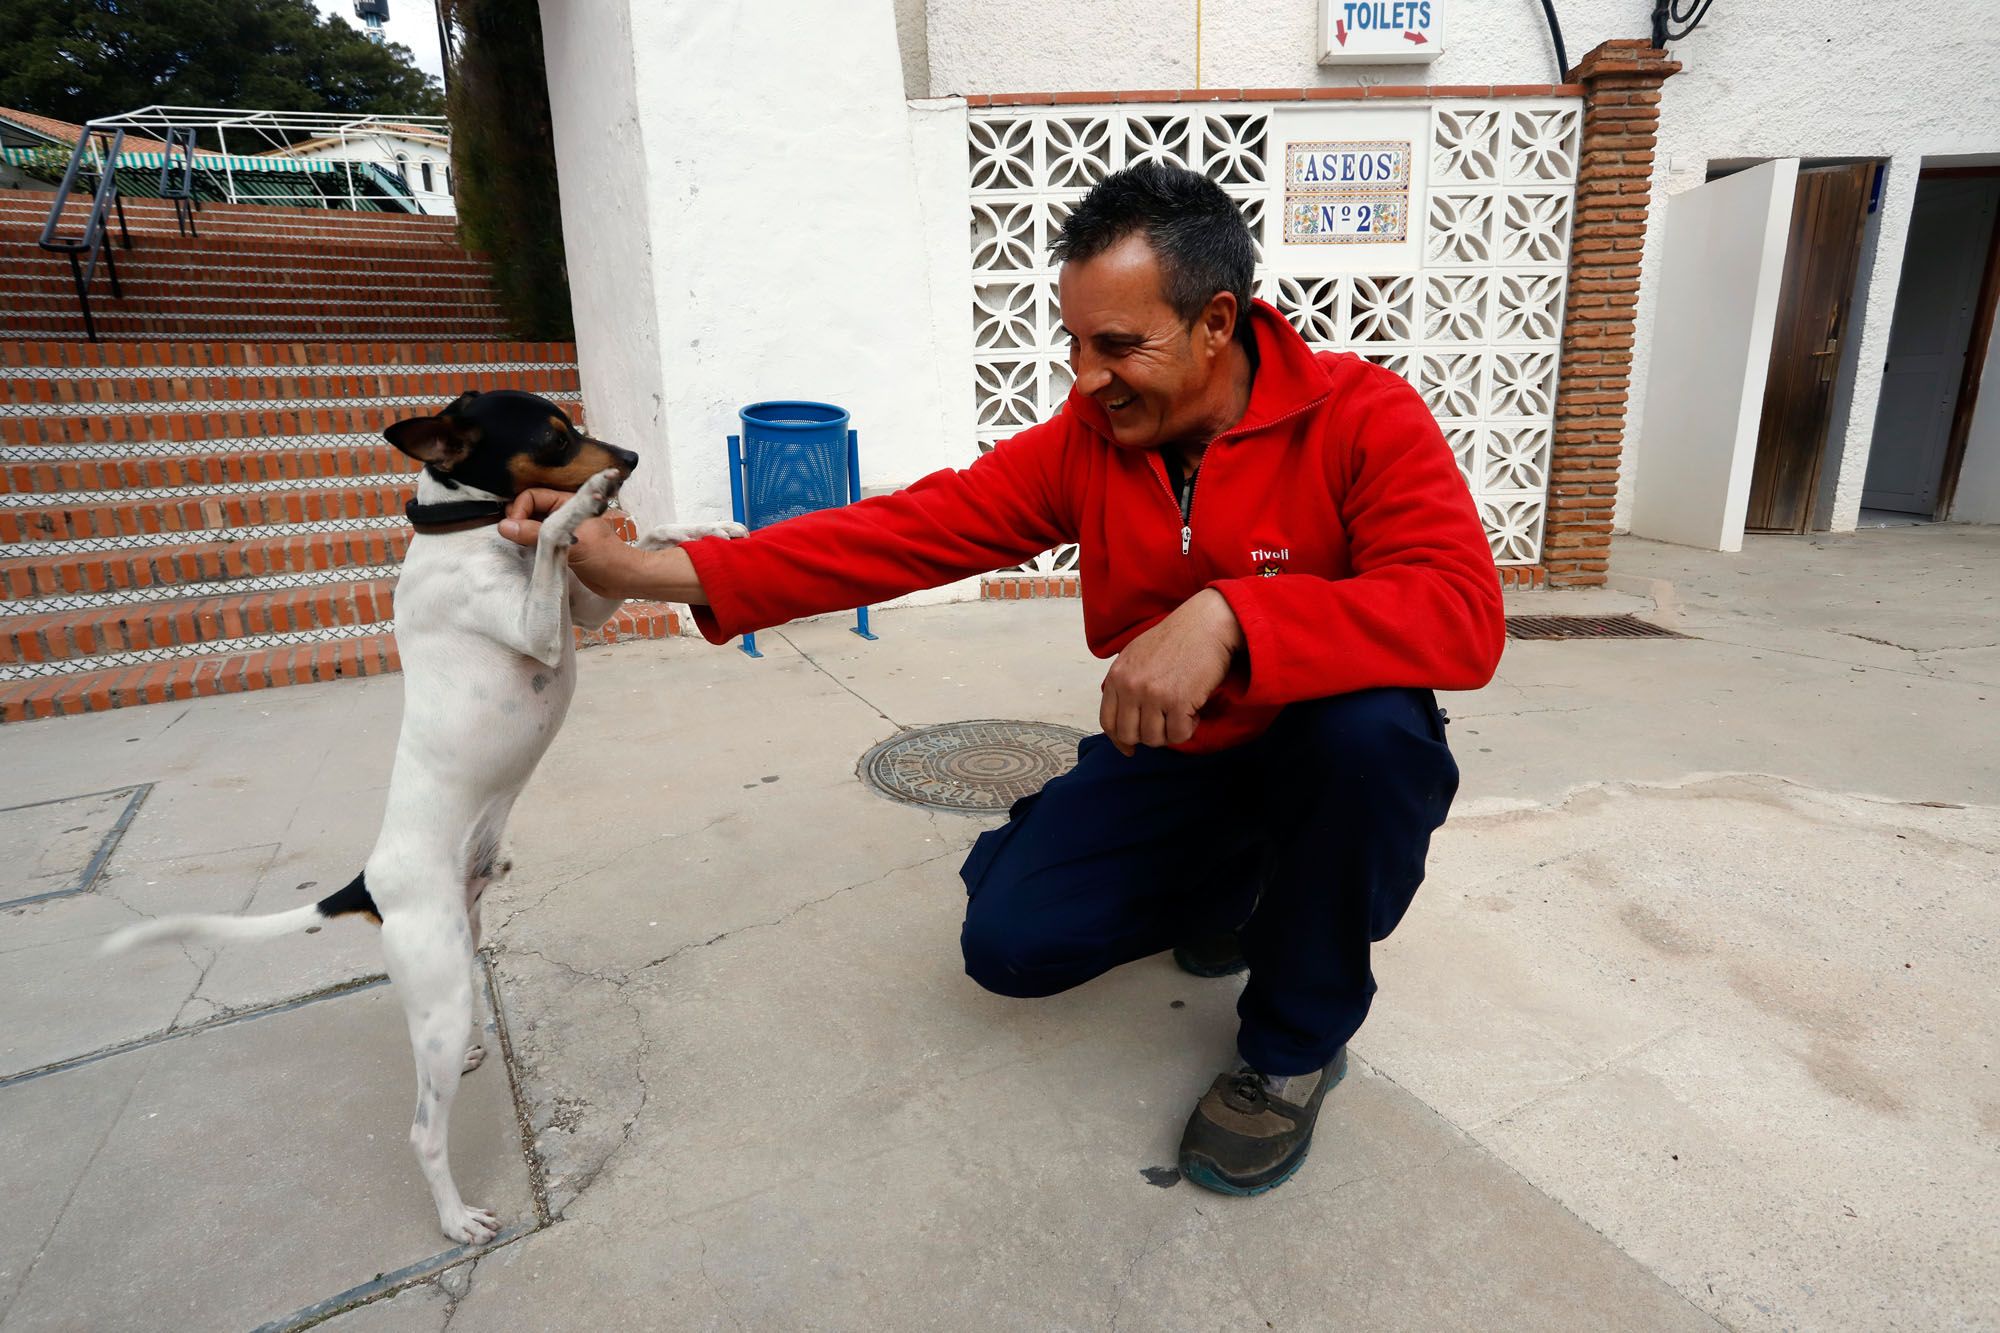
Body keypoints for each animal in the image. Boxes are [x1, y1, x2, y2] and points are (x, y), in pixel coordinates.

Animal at [103, 390, 744, 1240]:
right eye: (555, 437)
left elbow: (617, 547)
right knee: (421, 1130)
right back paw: (455, 1218)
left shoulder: (583, 609)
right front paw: (584, 501)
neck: (470, 533)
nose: (631, 459)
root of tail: (370, 884)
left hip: (452, 971)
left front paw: (701, 528)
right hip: (441, 985)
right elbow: (552, 534)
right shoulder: (542, 627)